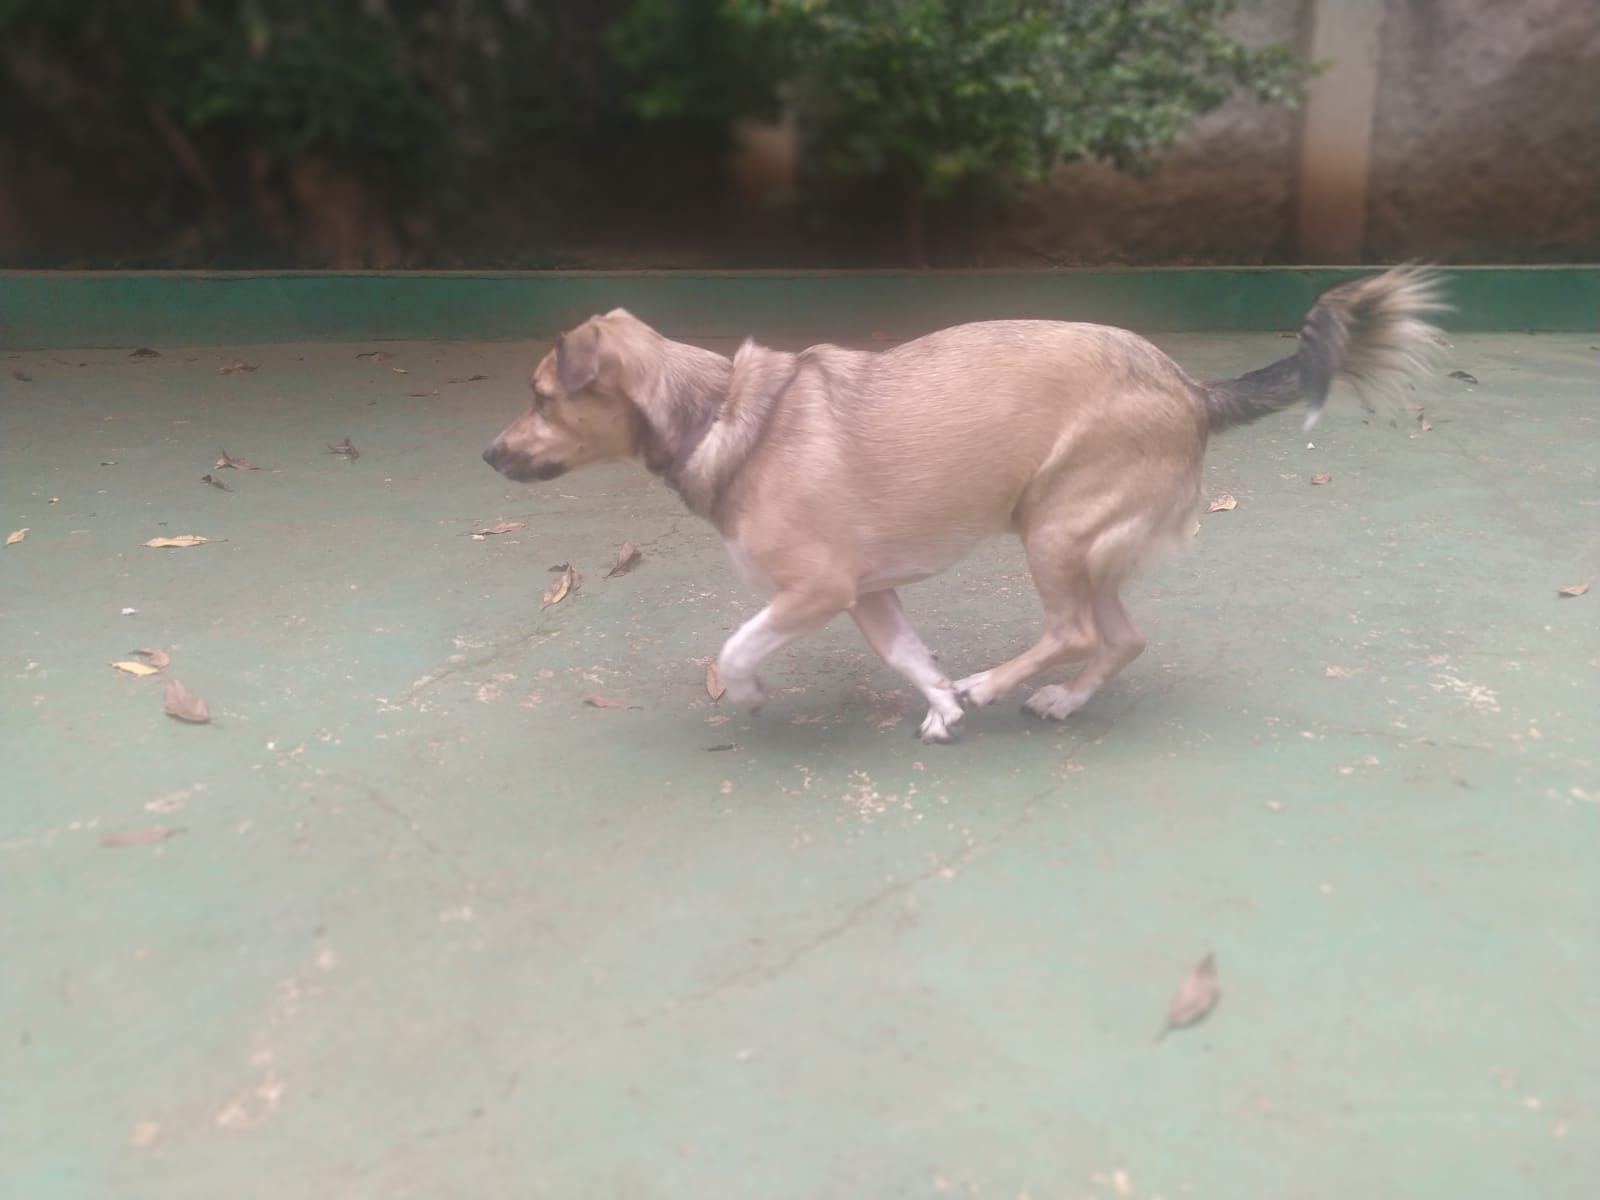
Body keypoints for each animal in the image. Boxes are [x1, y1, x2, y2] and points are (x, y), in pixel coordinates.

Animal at [483, 268, 1445, 743]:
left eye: (539, 397)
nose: (488, 454)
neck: (717, 410)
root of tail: (1191, 389)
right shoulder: (870, 596)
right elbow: (910, 657)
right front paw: (941, 703)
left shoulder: (817, 592)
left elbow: (737, 642)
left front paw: (750, 689)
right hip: (1086, 544)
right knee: (1119, 639)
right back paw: (1057, 703)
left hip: (1051, 529)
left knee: (1075, 632)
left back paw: (995, 682)